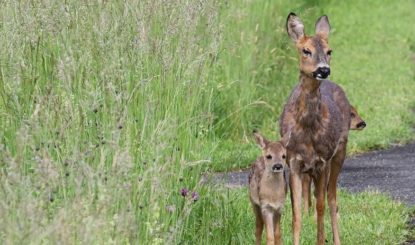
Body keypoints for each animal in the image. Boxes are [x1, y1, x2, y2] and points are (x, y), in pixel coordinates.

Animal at [280, 13, 352, 245]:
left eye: (329, 51)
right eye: (306, 50)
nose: (323, 70)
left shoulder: (323, 160)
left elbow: (321, 207)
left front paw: (321, 239)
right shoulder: (292, 162)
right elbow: (296, 213)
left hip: (340, 152)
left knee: (332, 199)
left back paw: (336, 240)